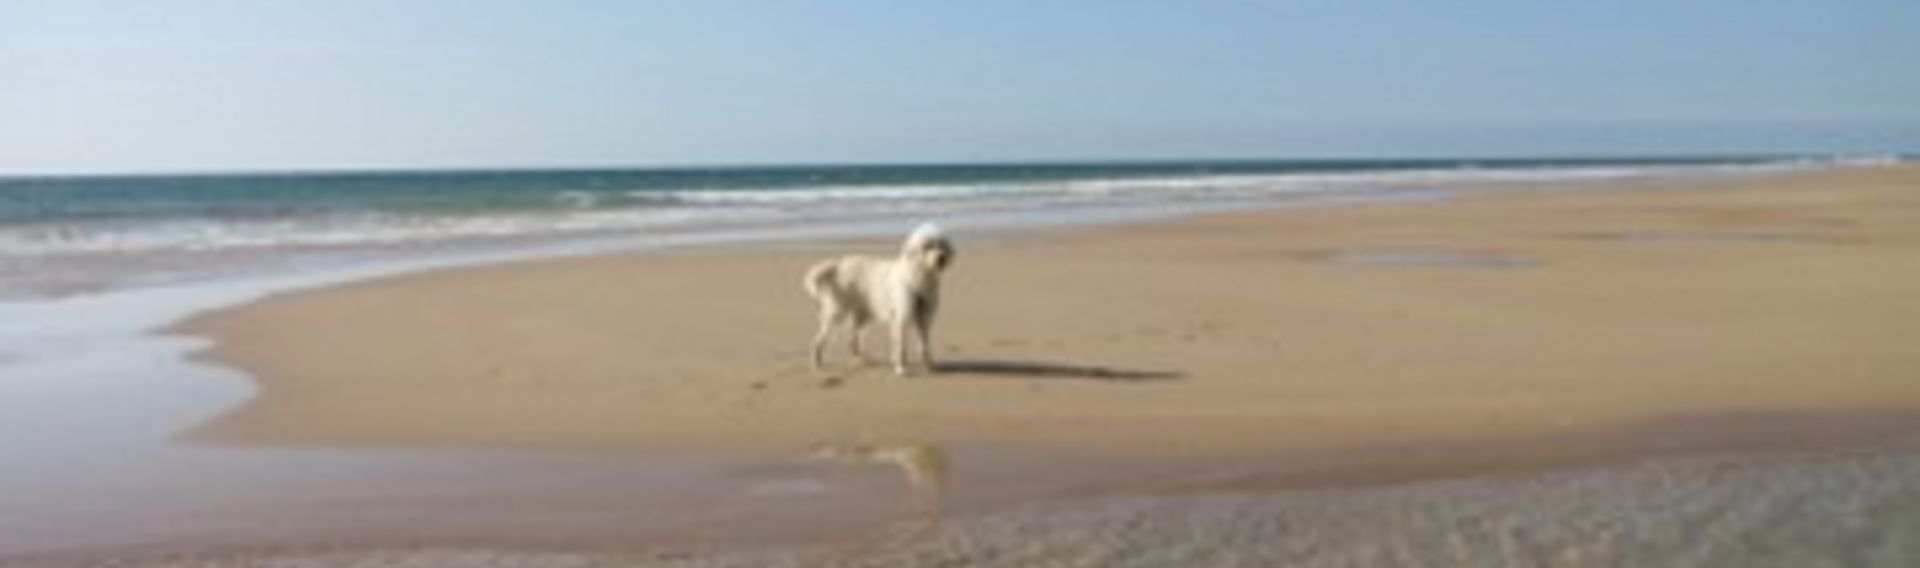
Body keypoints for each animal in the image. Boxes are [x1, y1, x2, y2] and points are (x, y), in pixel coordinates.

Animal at [806, 222, 956, 378]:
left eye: (941, 245)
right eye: (927, 246)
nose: (941, 258)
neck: (917, 276)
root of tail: (838, 265)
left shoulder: (924, 318)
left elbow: (924, 344)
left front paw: (929, 365)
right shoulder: (901, 318)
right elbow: (901, 346)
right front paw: (901, 368)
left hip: (862, 314)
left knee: (852, 341)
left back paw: (862, 360)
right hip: (838, 311)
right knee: (819, 339)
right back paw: (816, 362)